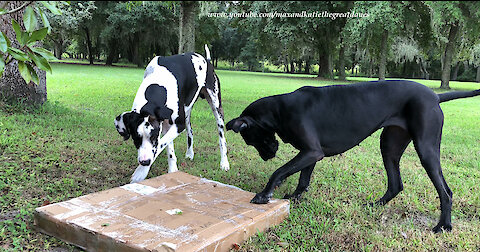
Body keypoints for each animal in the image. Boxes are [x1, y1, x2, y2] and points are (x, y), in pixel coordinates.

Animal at [115, 45, 230, 183]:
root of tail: (207, 61)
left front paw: (140, 172)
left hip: (216, 107)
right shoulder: (165, 123)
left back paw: (224, 162)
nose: (144, 162)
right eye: (135, 138)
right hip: (187, 112)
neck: (159, 80)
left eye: (153, 137)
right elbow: (168, 146)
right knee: (190, 132)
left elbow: (160, 144)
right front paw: (172, 169)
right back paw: (190, 153)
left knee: (221, 137)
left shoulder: (178, 125)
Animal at [227, 80, 480, 232]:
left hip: (426, 149)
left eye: (250, 140)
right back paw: (375, 205)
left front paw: (264, 193)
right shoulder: (311, 153)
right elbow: (303, 178)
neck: (279, 110)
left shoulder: (312, 151)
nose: (267, 157)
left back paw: (443, 225)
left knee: (445, 191)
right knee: (395, 184)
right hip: (389, 146)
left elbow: (279, 171)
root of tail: (435, 97)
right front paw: (296, 196)